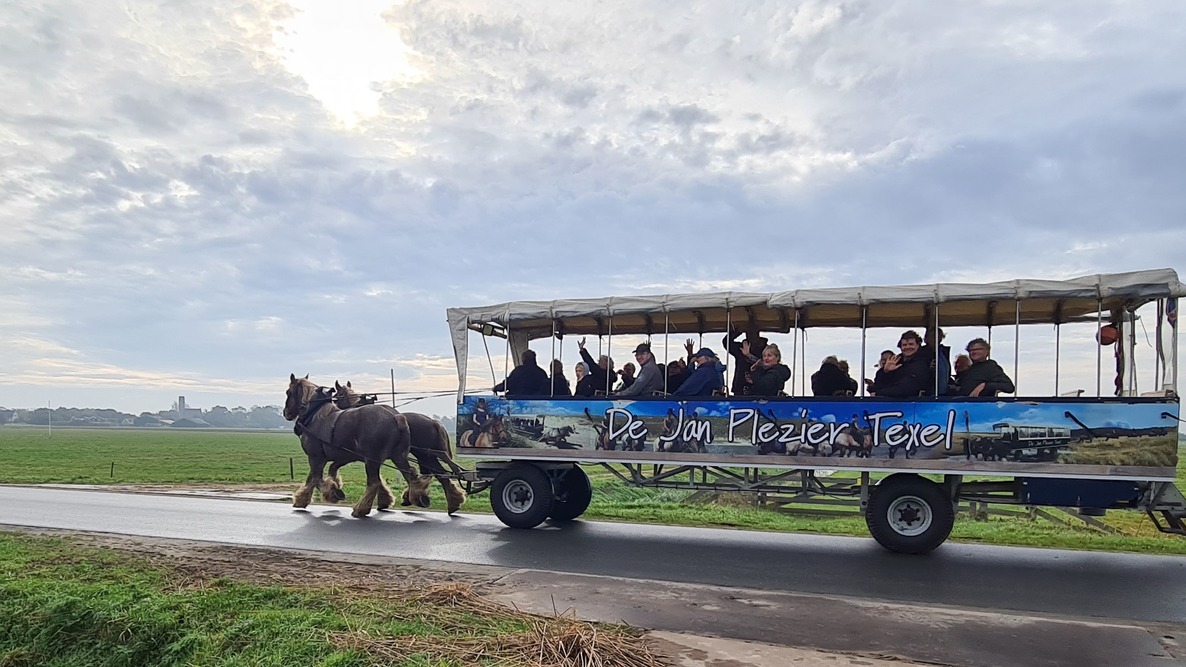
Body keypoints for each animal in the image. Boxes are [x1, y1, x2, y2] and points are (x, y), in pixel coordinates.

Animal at [282, 370, 431, 517]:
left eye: (288, 392)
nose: (286, 413)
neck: (314, 415)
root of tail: (396, 417)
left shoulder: (316, 457)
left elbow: (316, 478)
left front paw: (333, 493)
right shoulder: (342, 457)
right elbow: (319, 475)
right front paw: (302, 499)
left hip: (373, 459)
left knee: (374, 482)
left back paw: (361, 509)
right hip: (397, 456)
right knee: (410, 475)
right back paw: (418, 497)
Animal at [334, 379, 467, 515]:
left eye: (337, 396)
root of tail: (433, 422)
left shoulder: (370, 457)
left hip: (425, 455)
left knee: (438, 474)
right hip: (427, 456)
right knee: (439, 474)